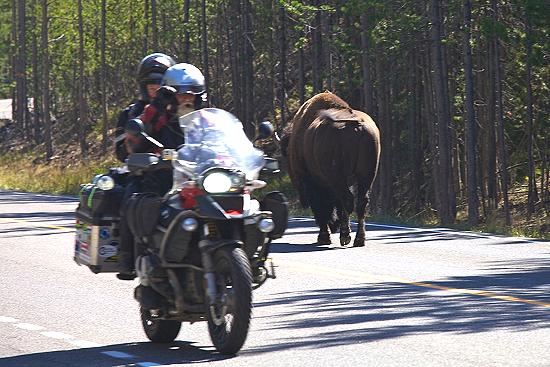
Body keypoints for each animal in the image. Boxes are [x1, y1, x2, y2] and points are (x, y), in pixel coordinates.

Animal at [282, 91, 382, 247]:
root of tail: (356, 124)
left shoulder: (313, 183)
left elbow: (321, 207)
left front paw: (324, 237)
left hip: (338, 176)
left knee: (347, 200)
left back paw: (345, 236)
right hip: (367, 175)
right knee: (360, 203)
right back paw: (359, 239)